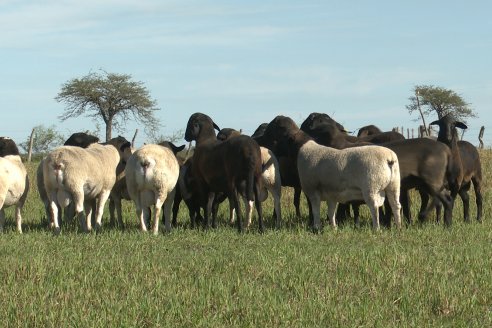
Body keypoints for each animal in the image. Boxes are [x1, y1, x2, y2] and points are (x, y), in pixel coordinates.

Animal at [264, 115, 402, 231]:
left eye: (282, 138)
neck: (303, 149)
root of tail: (389, 158)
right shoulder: (331, 194)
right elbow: (331, 212)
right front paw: (333, 228)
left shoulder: (312, 190)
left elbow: (315, 210)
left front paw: (316, 227)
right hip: (394, 185)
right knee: (396, 205)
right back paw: (398, 227)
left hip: (371, 187)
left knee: (375, 207)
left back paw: (376, 229)